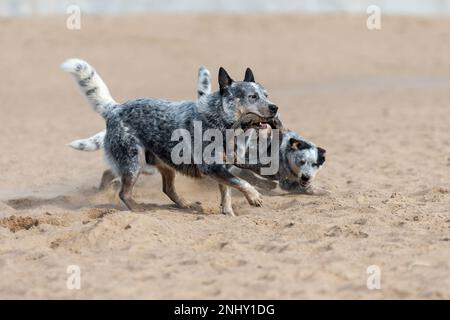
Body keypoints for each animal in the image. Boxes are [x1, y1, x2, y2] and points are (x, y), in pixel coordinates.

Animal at [61, 58, 280, 214]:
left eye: (266, 95)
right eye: (252, 96)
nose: (275, 107)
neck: (225, 123)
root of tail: (115, 108)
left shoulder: (224, 166)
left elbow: (227, 191)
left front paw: (228, 213)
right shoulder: (212, 167)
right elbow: (241, 182)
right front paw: (254, 197)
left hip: (162, 164)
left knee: (166, 188)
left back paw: (185, 204)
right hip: (135, 163)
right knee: (124, 192)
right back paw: (138, 208)